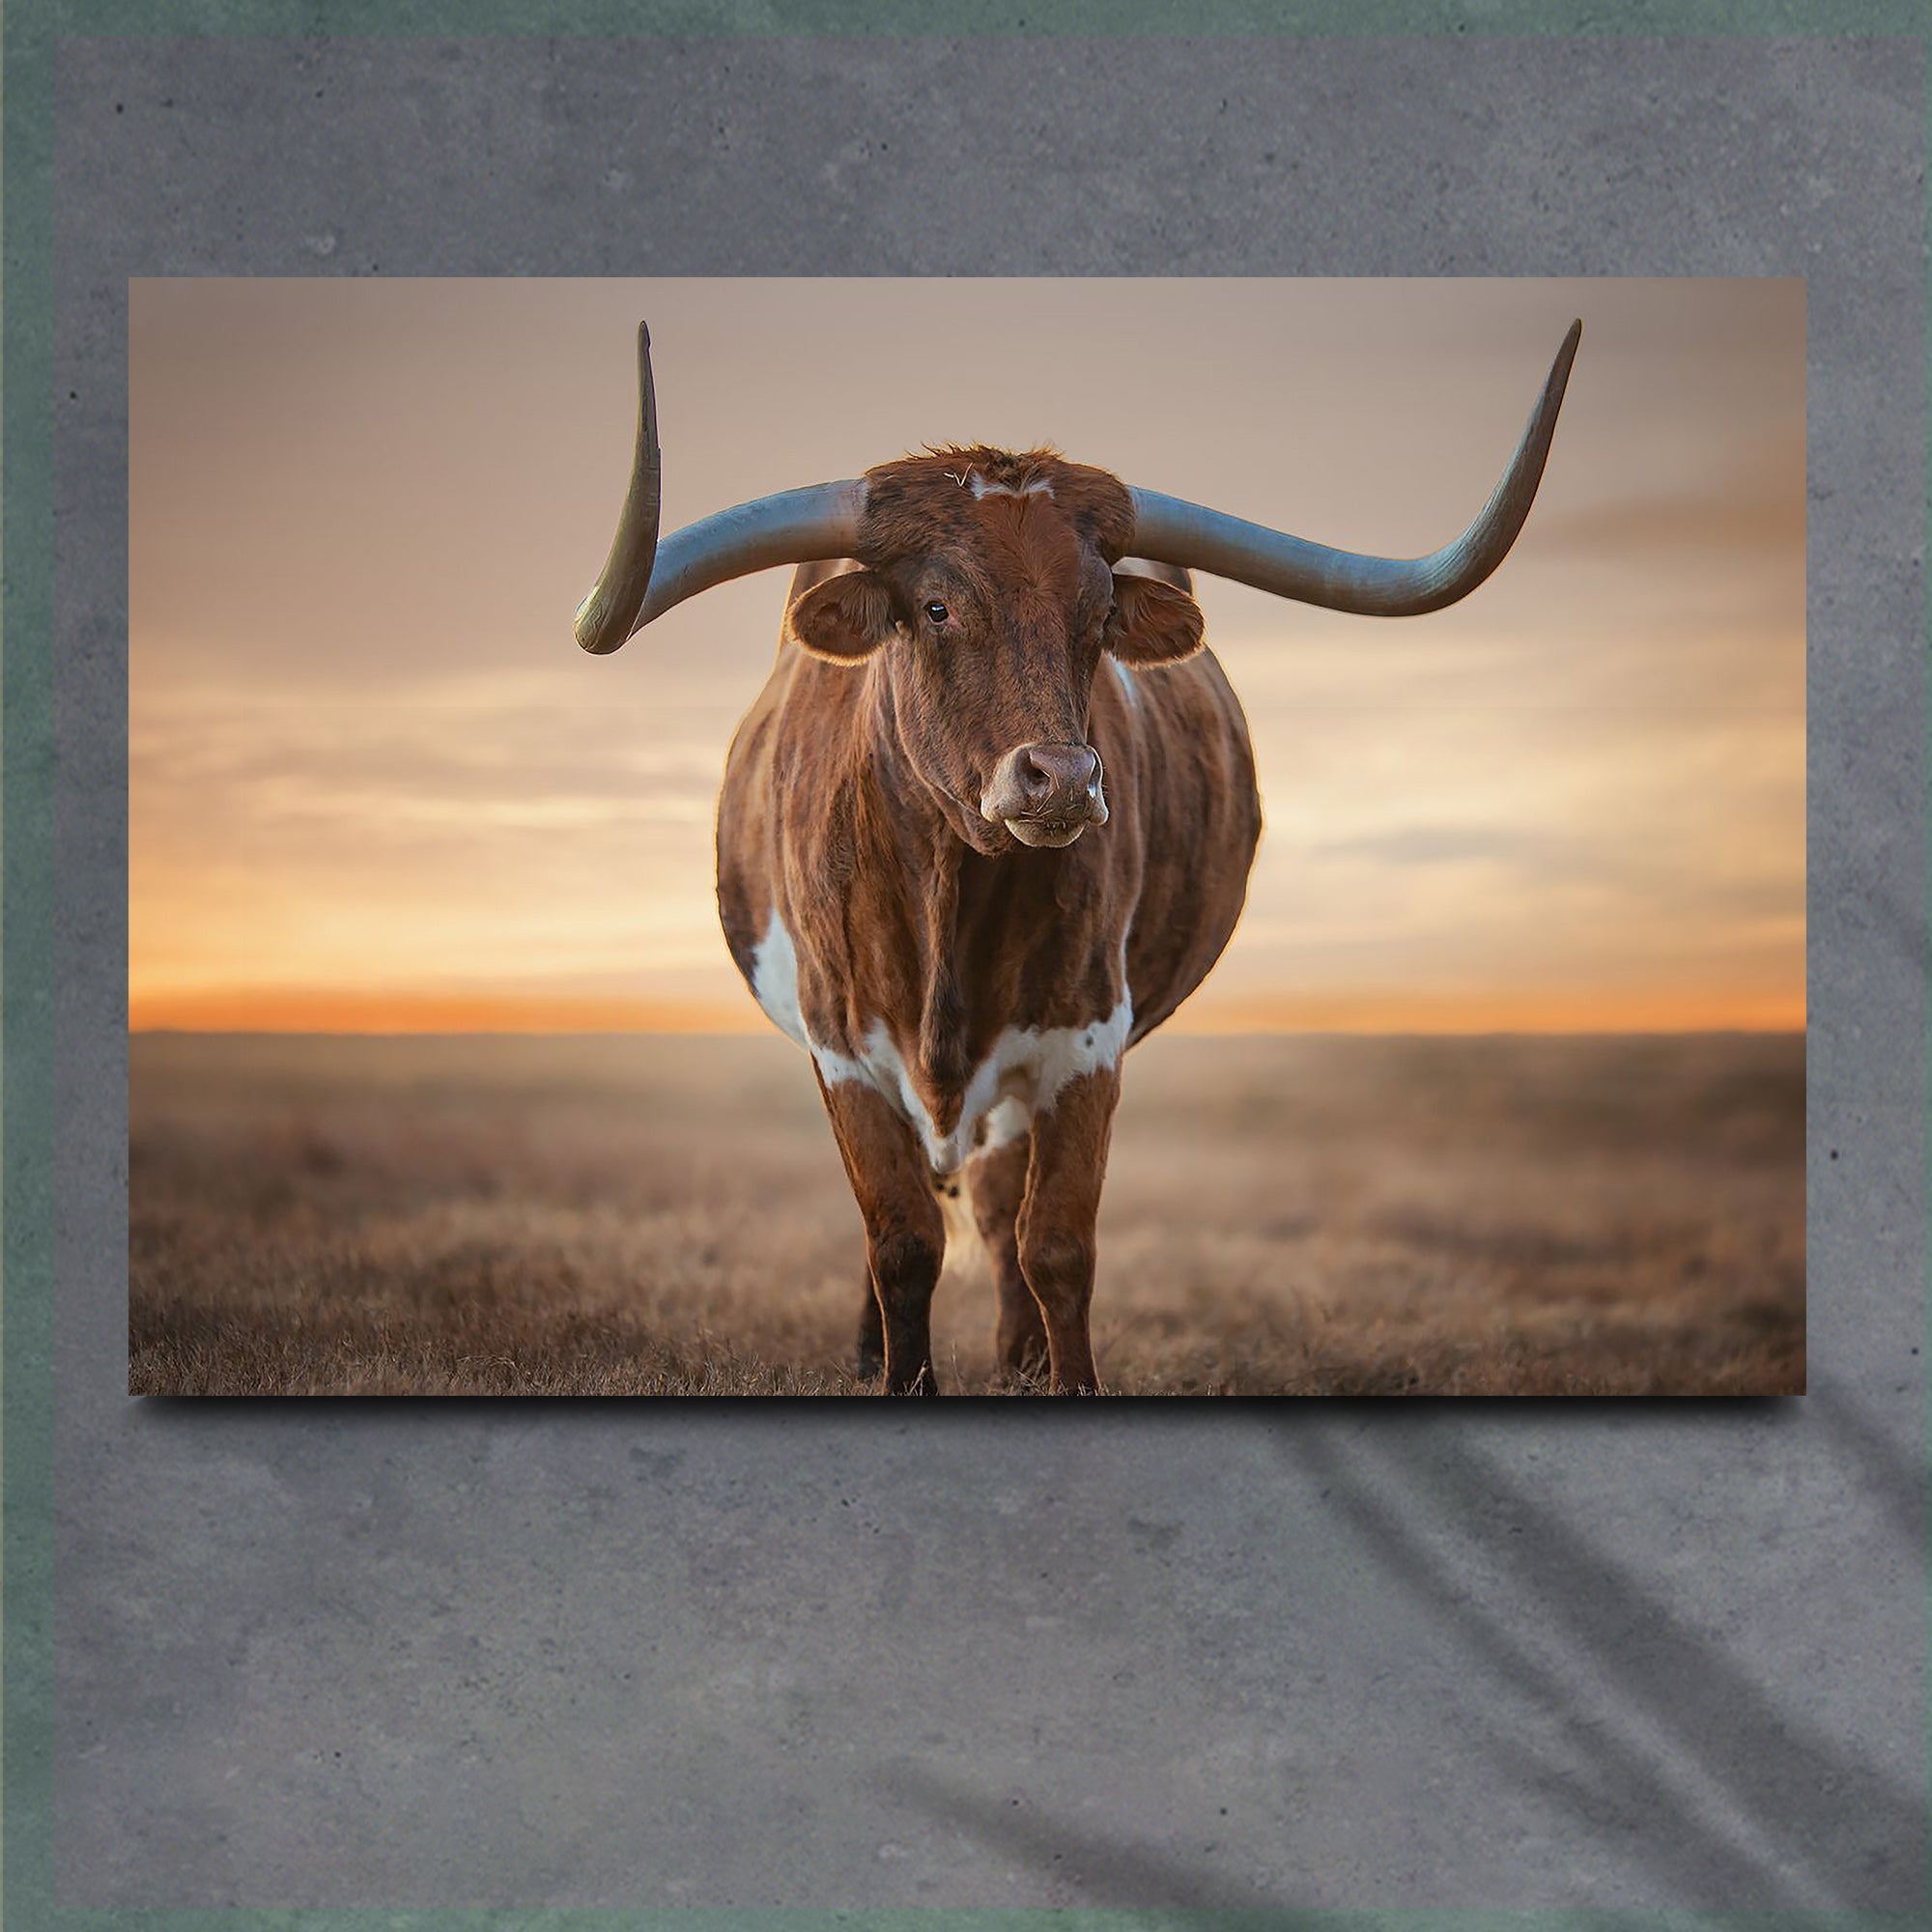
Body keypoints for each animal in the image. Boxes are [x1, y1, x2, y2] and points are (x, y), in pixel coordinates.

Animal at [575, 319, 1581, 1394]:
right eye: (936, 606)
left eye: (1097, 616)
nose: (1058, 779)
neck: (946, 893)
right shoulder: (840, 1045)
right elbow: (900, 1240)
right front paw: (899, 1374)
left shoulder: (1082, 1040)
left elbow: (1053, 1243)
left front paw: (1060, 1375)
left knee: (999, 1209)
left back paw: (1016, 1358)